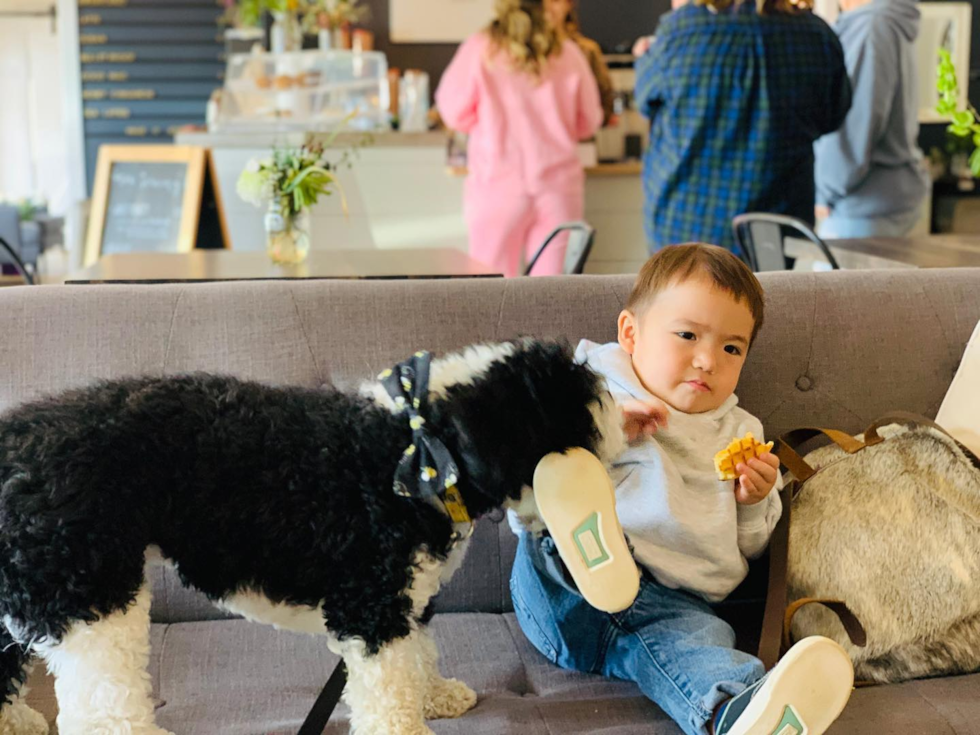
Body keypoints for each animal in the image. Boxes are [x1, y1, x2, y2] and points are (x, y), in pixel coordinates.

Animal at [0, 340, 624, 735]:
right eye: (579, 418)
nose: (632, 421)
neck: (419, 447)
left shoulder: (406, 603)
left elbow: (418, 658)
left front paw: (437, 695)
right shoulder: (371, 606)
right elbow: (389, 690)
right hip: (92, 600)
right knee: (100, 708)